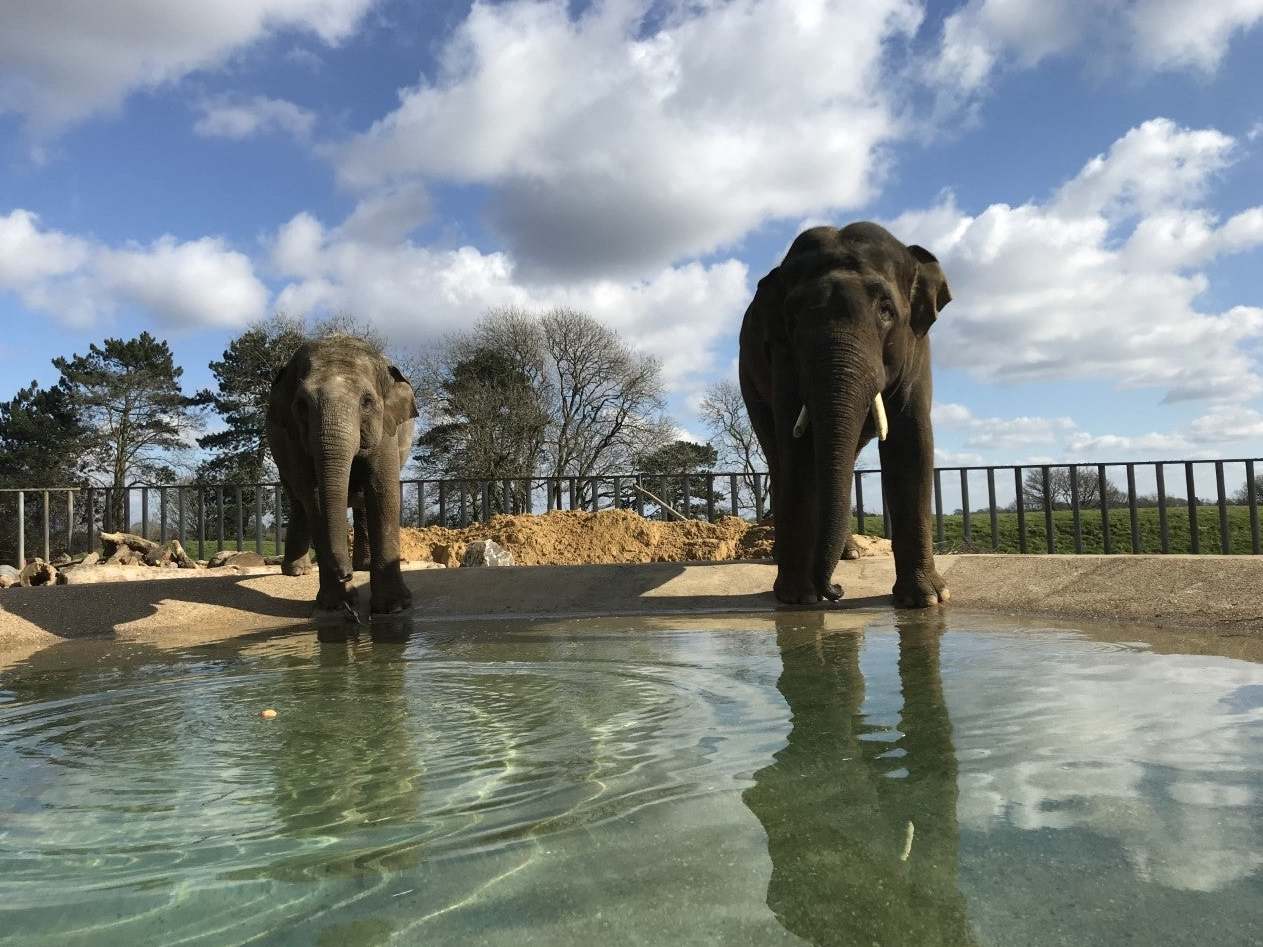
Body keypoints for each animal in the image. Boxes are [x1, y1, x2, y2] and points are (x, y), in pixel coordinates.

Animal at [737, 222, 949, 608]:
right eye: (792, 318)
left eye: (886, 310)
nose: (836, 591)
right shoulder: (782, 354)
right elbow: (799, 450)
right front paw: (798, 598)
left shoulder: (917, 346)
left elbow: (910, 442)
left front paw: (925, 600)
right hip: (749, 380)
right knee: (778, 455)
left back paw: (848, 553)